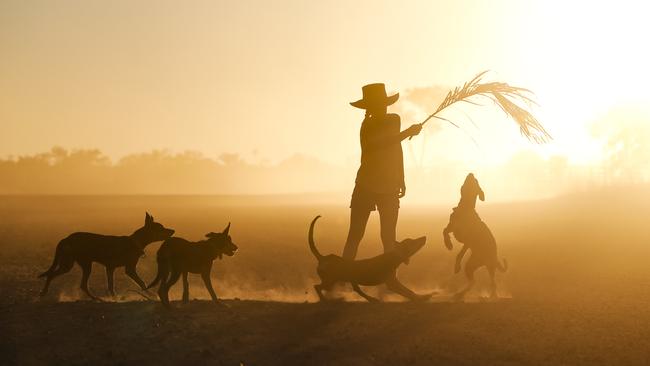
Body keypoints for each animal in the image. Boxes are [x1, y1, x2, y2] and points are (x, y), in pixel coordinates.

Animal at [38, 212, 173, 300]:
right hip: (71, 264)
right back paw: (44, 292)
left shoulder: (110, 268)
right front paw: (151, 295)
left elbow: (111, 285)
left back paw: (95, 298)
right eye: (161, 227)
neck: (135, 241)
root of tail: (66, 239)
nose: (173, 230)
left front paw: (114, 298)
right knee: (52, 275)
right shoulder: (129, 269)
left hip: (80, 264)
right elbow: (142, 283)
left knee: (82, 285)